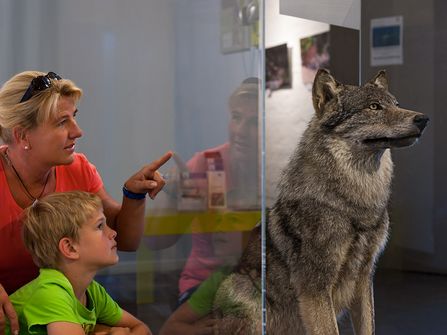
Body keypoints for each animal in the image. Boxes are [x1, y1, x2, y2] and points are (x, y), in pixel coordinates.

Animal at [214, 69, 430, 334]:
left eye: (396, 104)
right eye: (374, 107)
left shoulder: (364, 279)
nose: (423, 119)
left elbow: (368, 327)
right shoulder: (315, 288)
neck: (355, 203)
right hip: (245, 293)